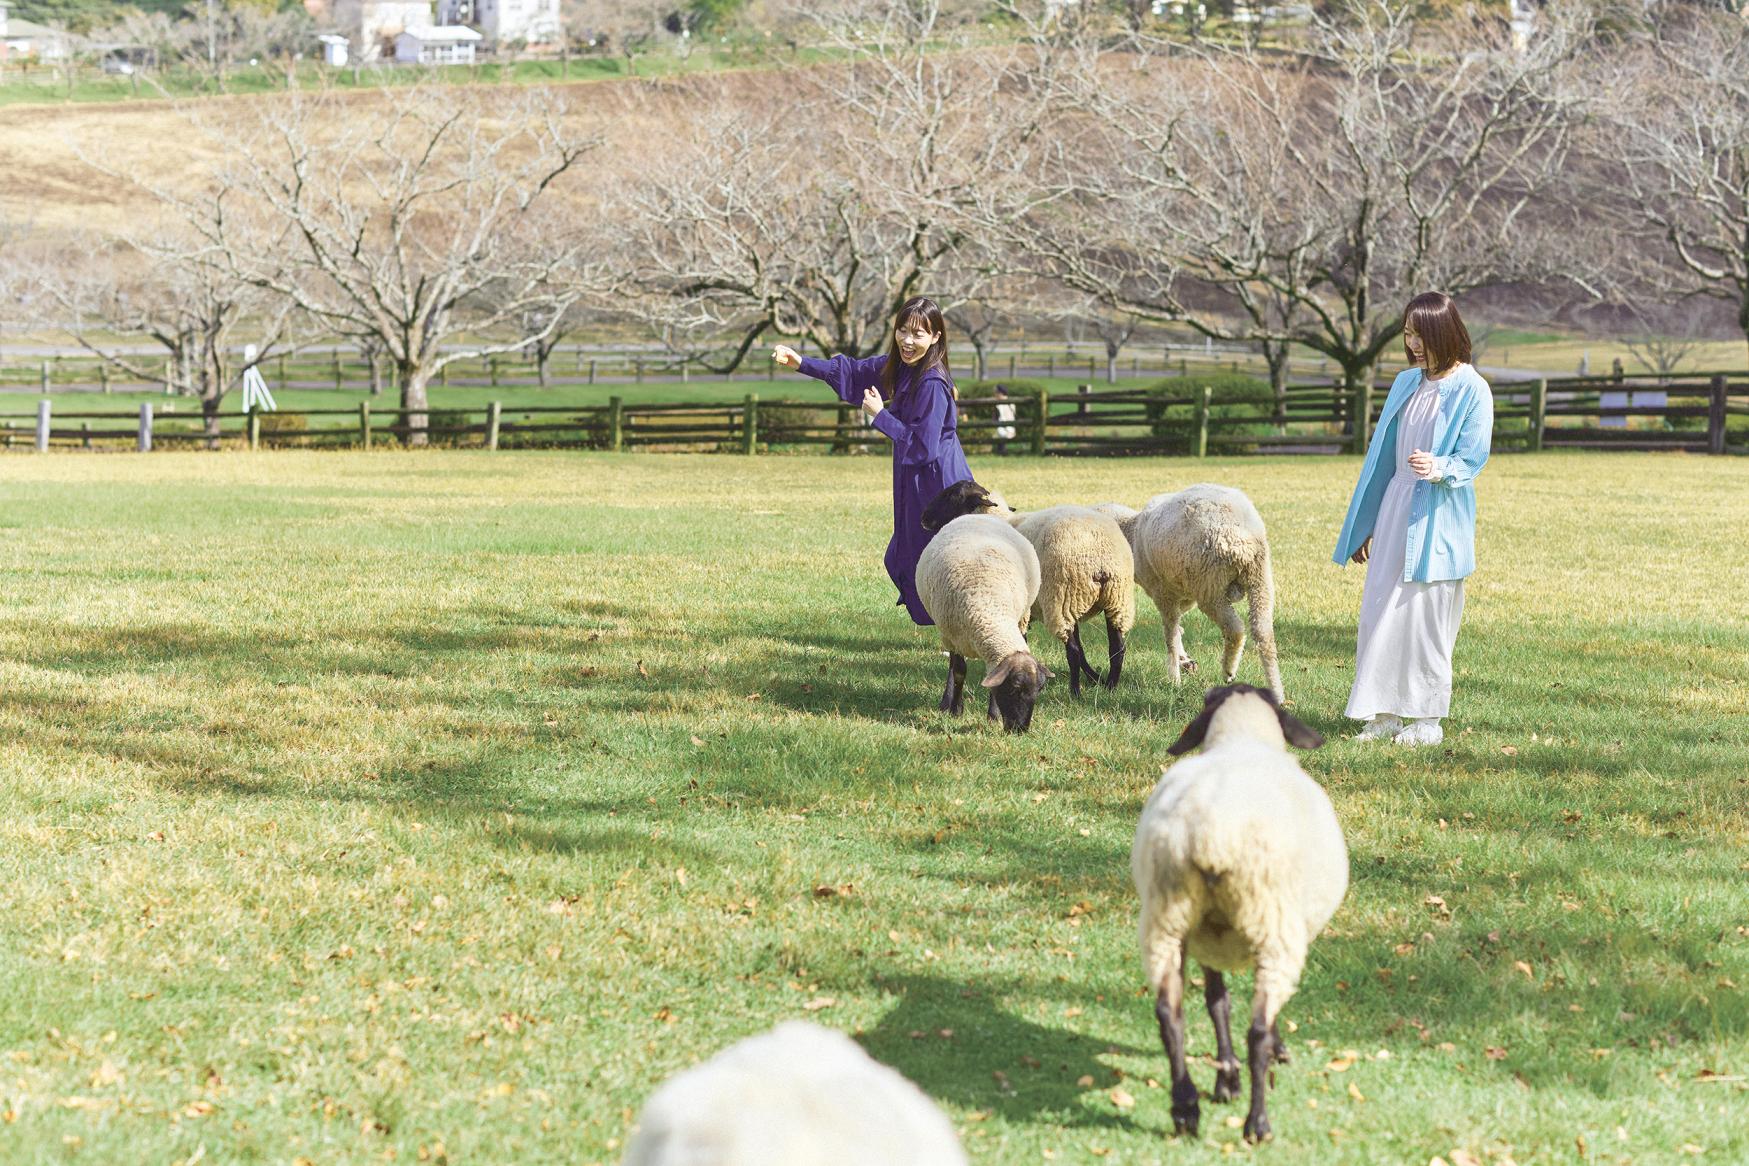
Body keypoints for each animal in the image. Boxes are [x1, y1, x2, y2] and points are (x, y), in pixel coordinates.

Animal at [909, 506, 1042, 734]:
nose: (1020, 730)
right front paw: (955, 710)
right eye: (1014, 688)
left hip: (1022, 618)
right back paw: (948, 702)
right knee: (953, 667)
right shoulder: (952, 635)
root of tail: (978, 515)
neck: (990, 609)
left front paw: (993, 716)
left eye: (1038, 691)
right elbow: (959, 672)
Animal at [923, 478, 1140, 699]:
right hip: (1113, 601)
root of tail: (1100, 559)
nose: (925, 517)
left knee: (1073, 651)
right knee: (1117, 648)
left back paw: (1075, 692)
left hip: (1062, 599)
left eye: (952, 495)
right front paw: (1096, 678)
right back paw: (1111, 687)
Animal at [1105, 482, 1287, 702]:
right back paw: (1277, 693)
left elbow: (1170, 632)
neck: (1132, 534)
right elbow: (1177, 627)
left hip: (1210, 584)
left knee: (1235, 629)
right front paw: (1184, 660)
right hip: (1260, 579)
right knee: (1263, 634)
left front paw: (1174, 677)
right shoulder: (1183, 593)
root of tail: (1242, 535)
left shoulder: (1163, 593)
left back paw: (1228, 670)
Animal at [1126, 678, 1343, 1146]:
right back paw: (1257, 1123)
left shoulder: (1208, 942)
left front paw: (1226, 1080)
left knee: (1170, 1015)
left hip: (1166, 923)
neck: (1241, 737)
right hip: (1273, 928)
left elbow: (1217, 1002)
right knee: (1257, 1029)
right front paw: (1272, 1055)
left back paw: (1186, 1108)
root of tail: (1212, 836)